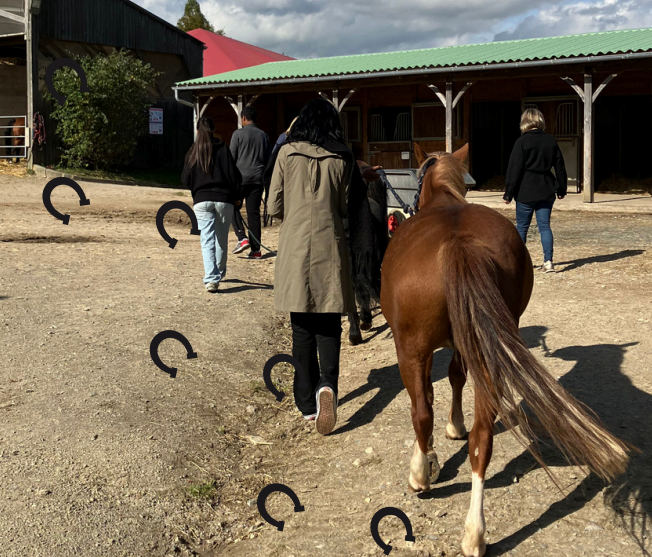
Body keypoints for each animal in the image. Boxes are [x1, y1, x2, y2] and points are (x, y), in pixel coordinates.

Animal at [380, 141, 636, 552]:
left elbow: (437, 395)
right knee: (482, 438)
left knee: (421, 413)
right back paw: (475, 532)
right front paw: (456, 426)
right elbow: (456, 377)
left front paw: (440, 443)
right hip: (486, 351)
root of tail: (458, 243)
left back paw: (422, 478)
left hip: (411, 349)